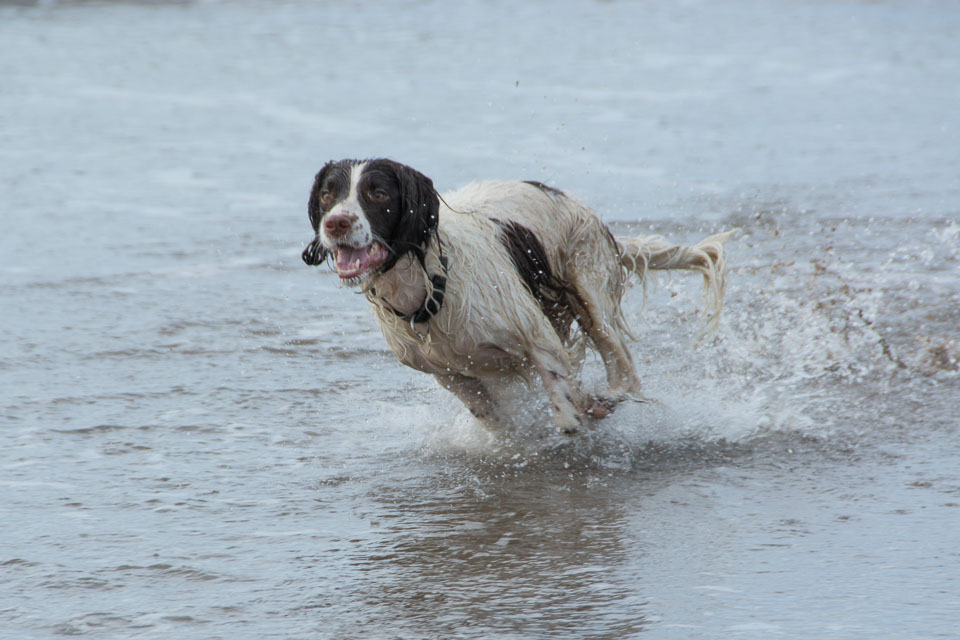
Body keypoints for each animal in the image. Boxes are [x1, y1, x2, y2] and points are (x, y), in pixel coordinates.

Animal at [304, 159, 732, 436]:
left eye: (377, 193)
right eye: (327, 195)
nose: (336, 224)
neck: (431, 287)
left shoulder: (536, 336)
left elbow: (565, 415)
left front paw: (575, 417)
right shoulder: (448, 374)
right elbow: (497, 422)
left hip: (592, 296)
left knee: (624, 373)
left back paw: (606, 397)